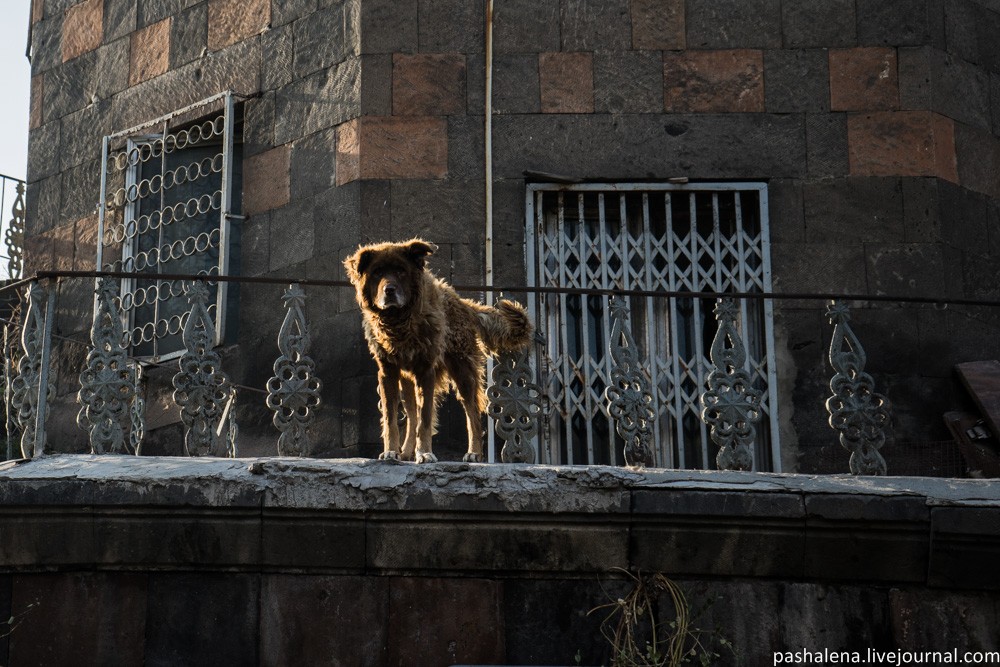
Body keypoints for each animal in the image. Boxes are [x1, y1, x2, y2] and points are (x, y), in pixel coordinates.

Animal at [342, 240, 532, 464]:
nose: (389, 290)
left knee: (472, 414)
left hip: (462, 372)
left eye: (401, 271)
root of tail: (463, 304)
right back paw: (406, 452)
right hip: (407, 380)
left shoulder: (425, 371)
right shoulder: (388, 372)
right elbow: (391, 419)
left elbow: (424, 419)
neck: (400, 320)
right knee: (412, 414)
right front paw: (391, 451)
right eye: (377, 272)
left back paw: (474, 453)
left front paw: (424, 452)